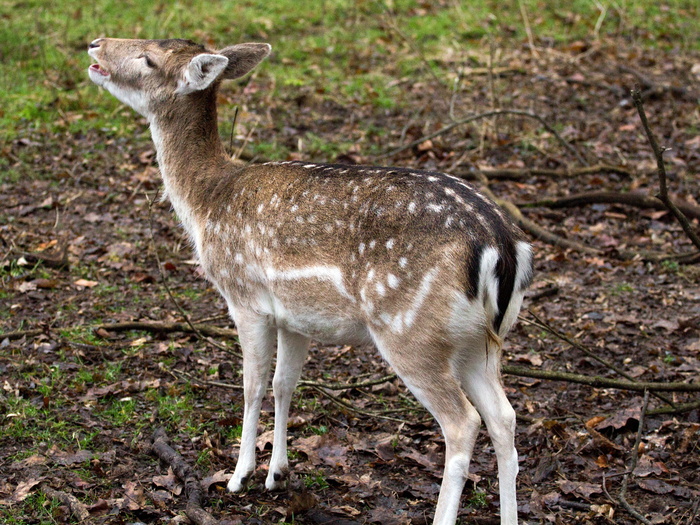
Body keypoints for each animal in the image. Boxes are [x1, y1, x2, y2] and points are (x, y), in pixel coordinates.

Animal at [87, 37, 532, 524]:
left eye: (149, 58)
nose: (96, 44)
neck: (205, 205)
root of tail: (503, 249)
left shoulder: (244, 298)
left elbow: (252, 385)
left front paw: (239, 475)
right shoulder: (295, 318)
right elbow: (284, 384)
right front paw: (277, 473)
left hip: (410, 331)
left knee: (463, 422)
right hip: (478, 341)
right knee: (505, 417)